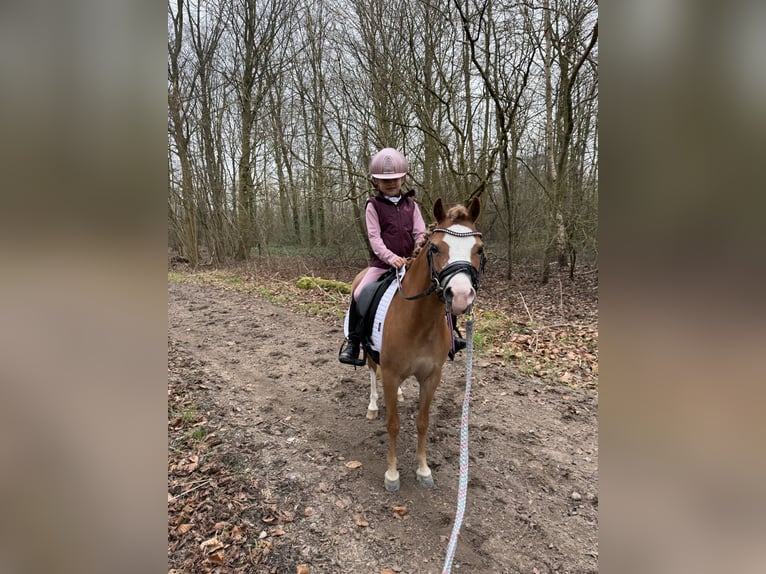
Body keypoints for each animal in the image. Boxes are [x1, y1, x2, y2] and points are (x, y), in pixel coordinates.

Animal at [350, 197, 484, 490]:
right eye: (435, 248)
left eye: (479, 249)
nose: (460, 295)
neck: (420, 322)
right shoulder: (390, 374)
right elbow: (393, 423)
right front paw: (392, 473)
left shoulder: (431, 377)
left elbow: (423, 422)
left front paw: (423, 470)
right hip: (369, 352)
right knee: (372, 371)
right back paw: (373, 406)